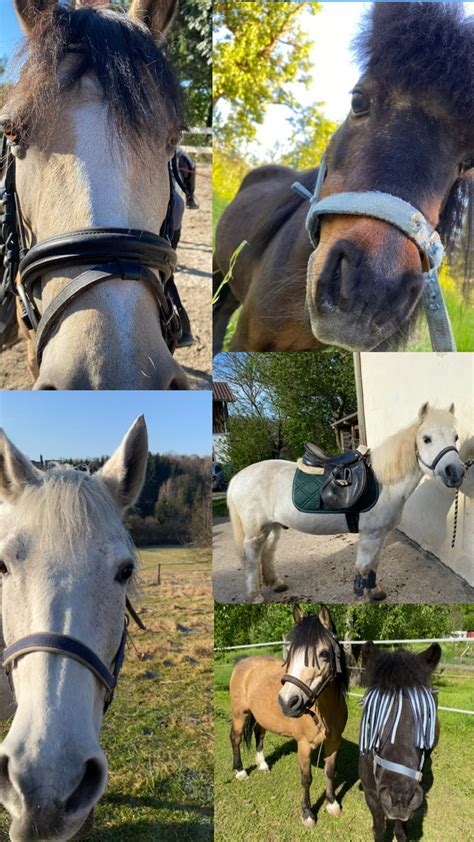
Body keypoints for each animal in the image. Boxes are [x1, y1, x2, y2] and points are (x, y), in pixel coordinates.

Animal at [228, 404, 464, 600]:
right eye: (426, 438)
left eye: (455, 437)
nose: (455, 472)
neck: (384, 482)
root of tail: (236, 479)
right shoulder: (369, 536)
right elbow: (364, 567)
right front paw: (363, 596)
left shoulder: (380, 535)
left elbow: (374, 565)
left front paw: (375, 592)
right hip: (256, 532)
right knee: (252, 558)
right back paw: (255, 596)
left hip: (273, 527)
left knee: (267, 552)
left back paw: (276, 583)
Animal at [230, 604, 348, 828]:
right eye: (291, 653)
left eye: (324, 654)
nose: (287, 702)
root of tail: (243, 661)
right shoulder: (303, 745)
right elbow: (306, 779)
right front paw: (308, 814)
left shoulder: (334, 743)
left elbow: (330, 773)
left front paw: (332, 804)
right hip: (240, 714)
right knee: (236, 738)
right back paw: (240, 771)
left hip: (261, 717)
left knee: (259, 735)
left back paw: (263, 765)